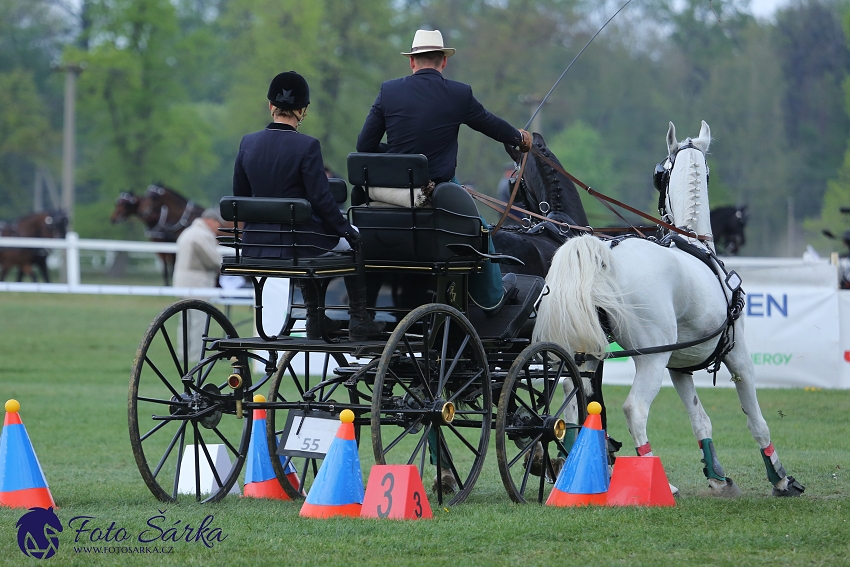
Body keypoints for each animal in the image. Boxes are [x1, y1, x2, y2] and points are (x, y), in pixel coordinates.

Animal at [536, 121, 800, 496]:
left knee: (574, 404)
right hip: (652, 357)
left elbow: (700, 419)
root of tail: (606, 258)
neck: (693, 242)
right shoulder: (738, 357)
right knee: (634, 408)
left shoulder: (681, 367)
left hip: (584, 356)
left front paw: (717, 476)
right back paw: (654, 477)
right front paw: (780, 477)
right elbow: (757, 420)